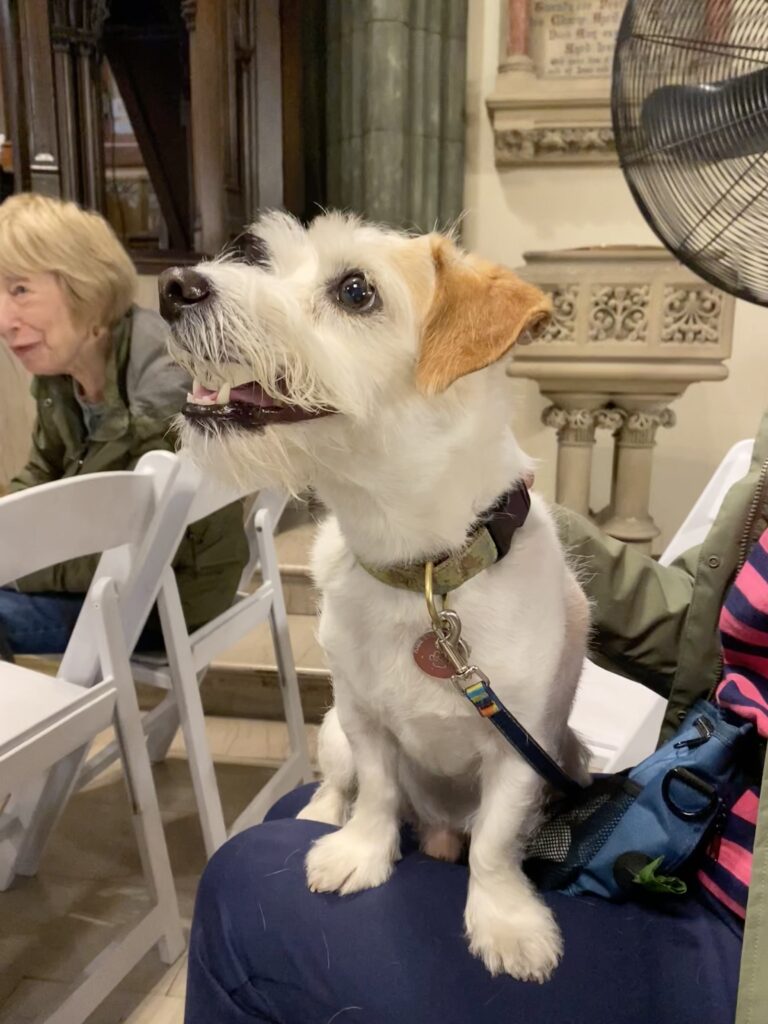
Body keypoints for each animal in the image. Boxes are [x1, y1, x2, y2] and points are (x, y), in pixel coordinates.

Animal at [159, 214, 593, 983]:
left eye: (355, 291)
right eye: (271, 261)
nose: (174, 285)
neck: (418, 571)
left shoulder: (525, 751)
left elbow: (494, 844)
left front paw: (506, 921)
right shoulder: (364, 722)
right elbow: (378, 792)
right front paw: (359, 854)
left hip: (568, 756)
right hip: (332, 728)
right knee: (338, 784)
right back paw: (319, 816)